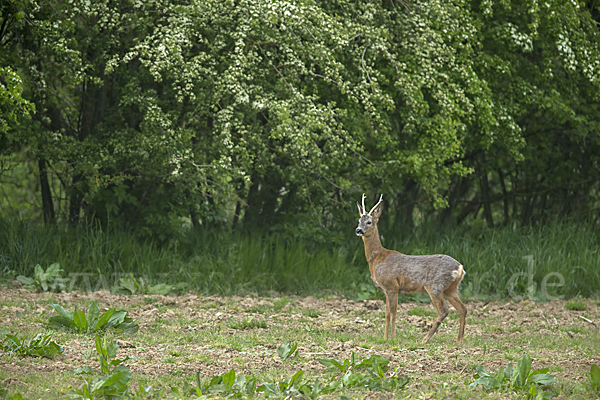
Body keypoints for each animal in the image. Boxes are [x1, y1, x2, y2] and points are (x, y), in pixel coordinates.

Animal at [356, 194, 468, 344]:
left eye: (369, 222)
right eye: (359, 220)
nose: (358, 230)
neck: (378, 258)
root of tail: (460, 268)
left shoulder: (392, 286)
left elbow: (393, 314)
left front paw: (393, 338)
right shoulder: (386, 290)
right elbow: (386, 315)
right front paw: (385, 339)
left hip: (435, 286)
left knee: (444, 311)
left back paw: (424, 340)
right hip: (451, 288)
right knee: (463, 309)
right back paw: (458, 342)